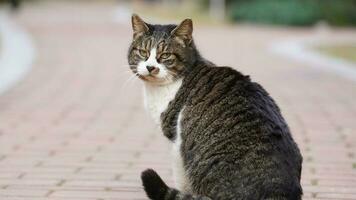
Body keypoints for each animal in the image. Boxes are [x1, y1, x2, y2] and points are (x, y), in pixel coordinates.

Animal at [126, 14, 302, 200]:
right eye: (143, 52)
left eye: (165, 55)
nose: (150, 67)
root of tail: (277, 191)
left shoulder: (176, 140)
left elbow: (181, 179)